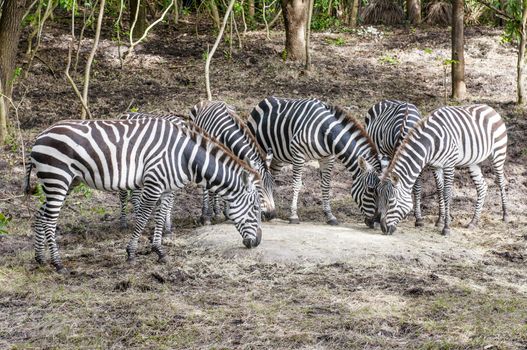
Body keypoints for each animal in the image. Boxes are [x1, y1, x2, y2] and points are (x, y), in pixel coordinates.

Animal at [24, 118, 264, 274]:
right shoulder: (153, 183)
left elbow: (160, 216)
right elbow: (143, 217)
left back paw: (40, 258)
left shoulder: (167, 188)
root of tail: (38, 137)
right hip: (58, 178)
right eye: (255, 208)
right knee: (50, 219)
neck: (184, 156)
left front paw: (159, 251)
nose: (257, 243)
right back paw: (58, 264)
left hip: (64, 182)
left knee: (40, 215)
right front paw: (131, 252)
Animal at [248, 97, 380, 226]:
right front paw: (293, 215)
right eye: (370, 189)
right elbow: (297, 184)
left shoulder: (328, 158)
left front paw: (330, 215)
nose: (376, 222)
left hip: (277, 157)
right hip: (259, 148)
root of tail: (266, 99)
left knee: (271, 176)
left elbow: (326, 186)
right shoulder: (298, 154)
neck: (326, 133)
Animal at [366, 100, 436, 228]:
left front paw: (418, 218)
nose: (378, 218)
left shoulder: (419, 161)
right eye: (377, 193)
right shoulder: (385, 155)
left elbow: (417, 187)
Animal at [378, 104, 510, 235]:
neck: (431, 143)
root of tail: (489, 108)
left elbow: (446, 192)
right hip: (473, 162)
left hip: (498, 153)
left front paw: (446, 227)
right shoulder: (435, 165)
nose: (383, 229)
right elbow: (440, 190)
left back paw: (505, 215)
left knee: (501, 181)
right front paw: (440, 220)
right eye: (381, 199)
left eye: (391, 201)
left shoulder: (449, 164)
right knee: (482, 187)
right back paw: (473, 221)